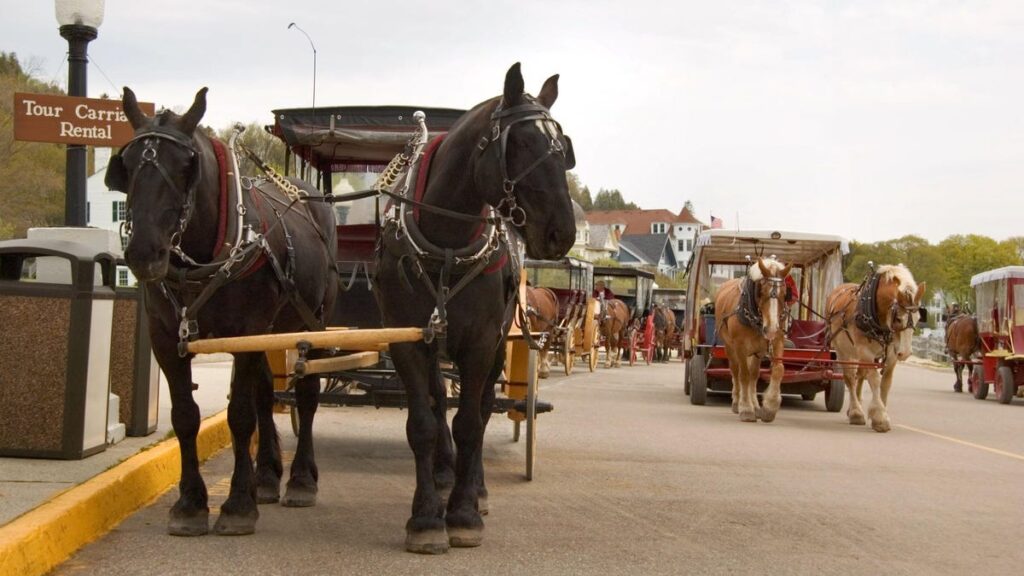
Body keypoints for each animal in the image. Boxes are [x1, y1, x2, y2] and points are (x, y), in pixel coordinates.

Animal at [104, 87, 335, 537]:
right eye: (127, 164)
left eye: (186, 166)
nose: (143, 253)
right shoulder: (166, 338)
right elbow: (186, 416)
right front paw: (191, 504)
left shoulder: (246, 335)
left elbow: (239, 415)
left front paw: (238, 505)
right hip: (271, 332)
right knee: (266, 394)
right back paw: (267, 477)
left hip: (314, 321)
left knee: (307, 395)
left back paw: (300, 479)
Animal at [376, 62, 581, 553]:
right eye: (521, 144)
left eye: (563, 148)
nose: (563, 232)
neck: (447, 246)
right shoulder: (406, 340)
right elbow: (423, 423)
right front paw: (426, 516)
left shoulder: (483, 344)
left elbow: (471, 422)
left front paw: (464, 512)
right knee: (438, 403)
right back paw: (444, 473)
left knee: (484, 409)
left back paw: (475, 487)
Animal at [716, 258, 794, 420]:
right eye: (761, 292)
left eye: (785, 294)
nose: (771, 329)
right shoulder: (739, 345)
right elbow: (743, 375)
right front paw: (746, 408)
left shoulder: (776, 341)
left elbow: (778, 370)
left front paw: (769, 407)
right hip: (730, 347)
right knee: (736, 371)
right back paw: (737, 402)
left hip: (757, 350)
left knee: (754, 374)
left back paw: (756, 405)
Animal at [827, 264, 925, 430]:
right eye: (898, 318)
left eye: (918, 318)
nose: (905, 353)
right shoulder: (865, 352)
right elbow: (874, 380)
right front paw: (880, 416)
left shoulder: (891, 355)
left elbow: (886, 383)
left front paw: (881, 412)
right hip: (843, 351)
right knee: (850, 378)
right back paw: (856, 412)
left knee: (860, 375)